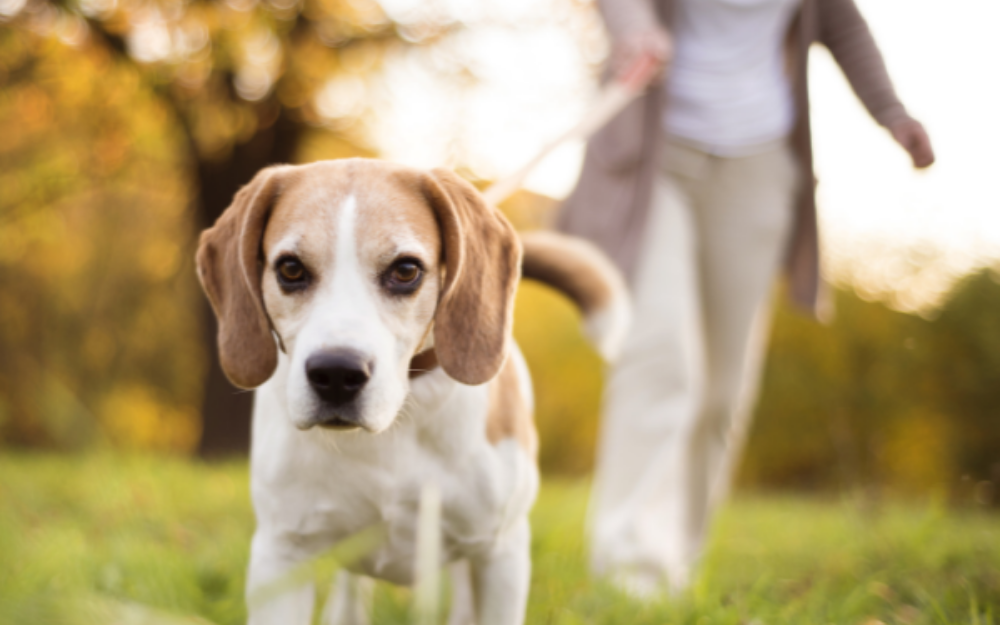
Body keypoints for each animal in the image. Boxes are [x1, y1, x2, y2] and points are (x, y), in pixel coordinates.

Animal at [197, 160, 624, 624]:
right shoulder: (281, 555)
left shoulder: (500, 555)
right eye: (291, 269)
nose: (336, 373)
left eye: (405, 270)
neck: (397, 425)